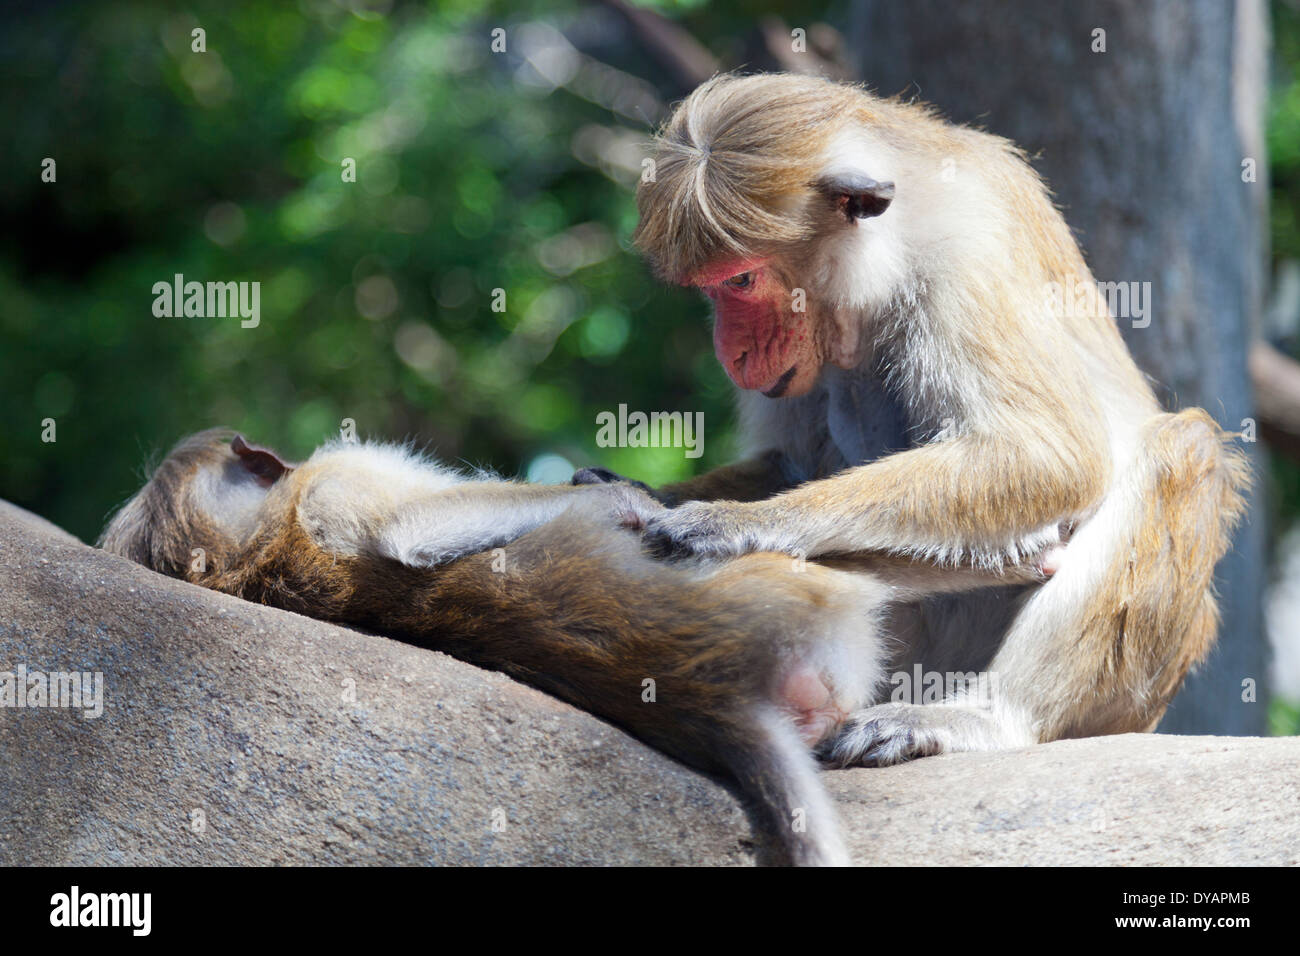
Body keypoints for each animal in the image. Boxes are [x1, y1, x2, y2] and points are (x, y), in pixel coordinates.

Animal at [101, 429, 1032, 865]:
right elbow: (411, 532)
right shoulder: (340, 481)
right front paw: (621, 498)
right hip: (807, 599)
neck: (258, 555)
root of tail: (720, 699)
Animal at [586, 71, 1251, 766]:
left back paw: (989, 718)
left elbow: (1048, 455)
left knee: (1182, 447)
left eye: (740, 280)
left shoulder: (963, 256)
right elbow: (792, 462)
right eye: (712, 288)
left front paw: (743, 523)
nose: (730, 352)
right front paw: (638, 493)